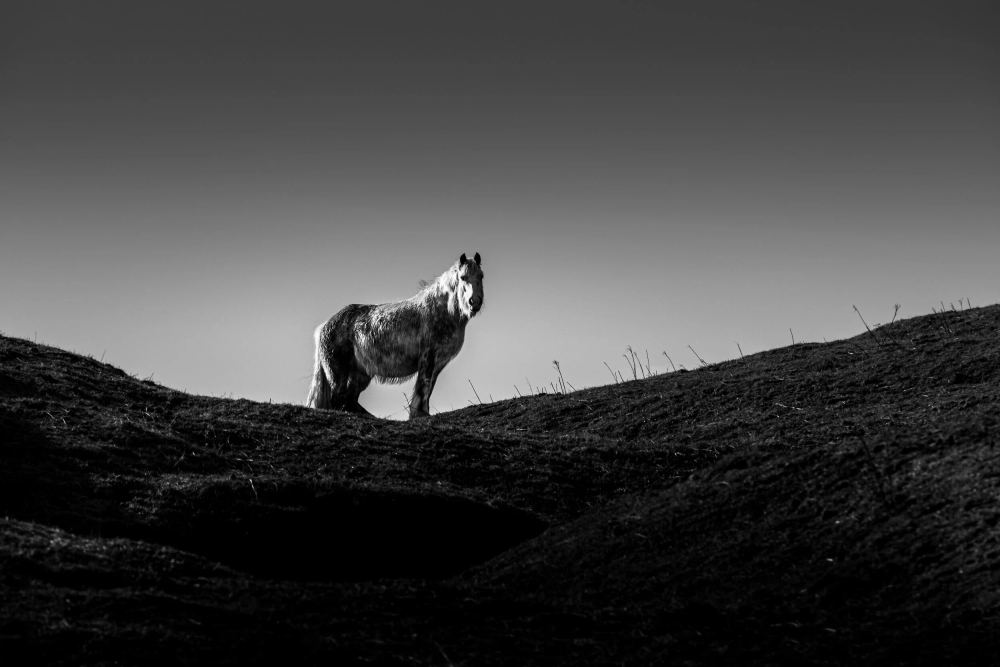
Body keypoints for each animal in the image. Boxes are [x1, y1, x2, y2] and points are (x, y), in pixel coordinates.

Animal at [306, 252, 484, 419]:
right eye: (463, 277)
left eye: (481, 276)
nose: (474, 302)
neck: (441, 311)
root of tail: (325, 326)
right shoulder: (428, 358)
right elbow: (423, 387)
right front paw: (419, 414)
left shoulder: (439, 362)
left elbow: (428, 388)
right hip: (338, 373)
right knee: (338, 400)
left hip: (360, 374)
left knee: (348, 400)